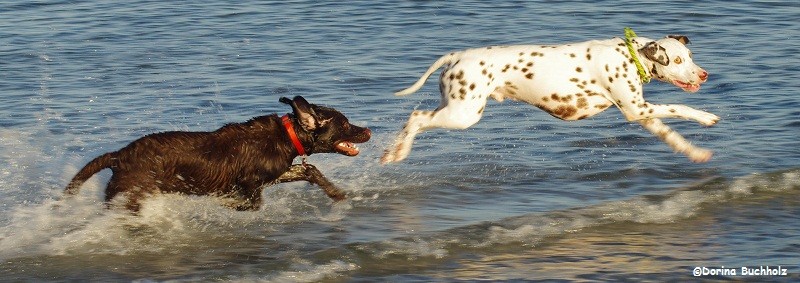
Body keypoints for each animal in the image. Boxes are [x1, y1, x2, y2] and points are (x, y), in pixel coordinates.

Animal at [63, 96, 372, 212]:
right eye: (345, 124)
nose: (368, 130)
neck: (286, 135)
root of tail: (118, 156)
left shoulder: (275, 173)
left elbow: (310, 170)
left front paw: (336, 194)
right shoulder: (249, 182)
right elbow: (251, 203)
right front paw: (224, 204)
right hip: (131, 194)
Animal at [382, 30, 720, 164]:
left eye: (690, 56)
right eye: (677, 60)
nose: (703, 74)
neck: (630, 55)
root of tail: (458, 55)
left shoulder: (644, 115)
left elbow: (673, 136)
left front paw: (695, 153)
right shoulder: (637, 109)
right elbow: (679, 106)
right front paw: (705, 117)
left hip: (455, 108)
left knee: (414, 119)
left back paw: (393, 151)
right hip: (463, 115)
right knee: (415, 118)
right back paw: (394, 154)